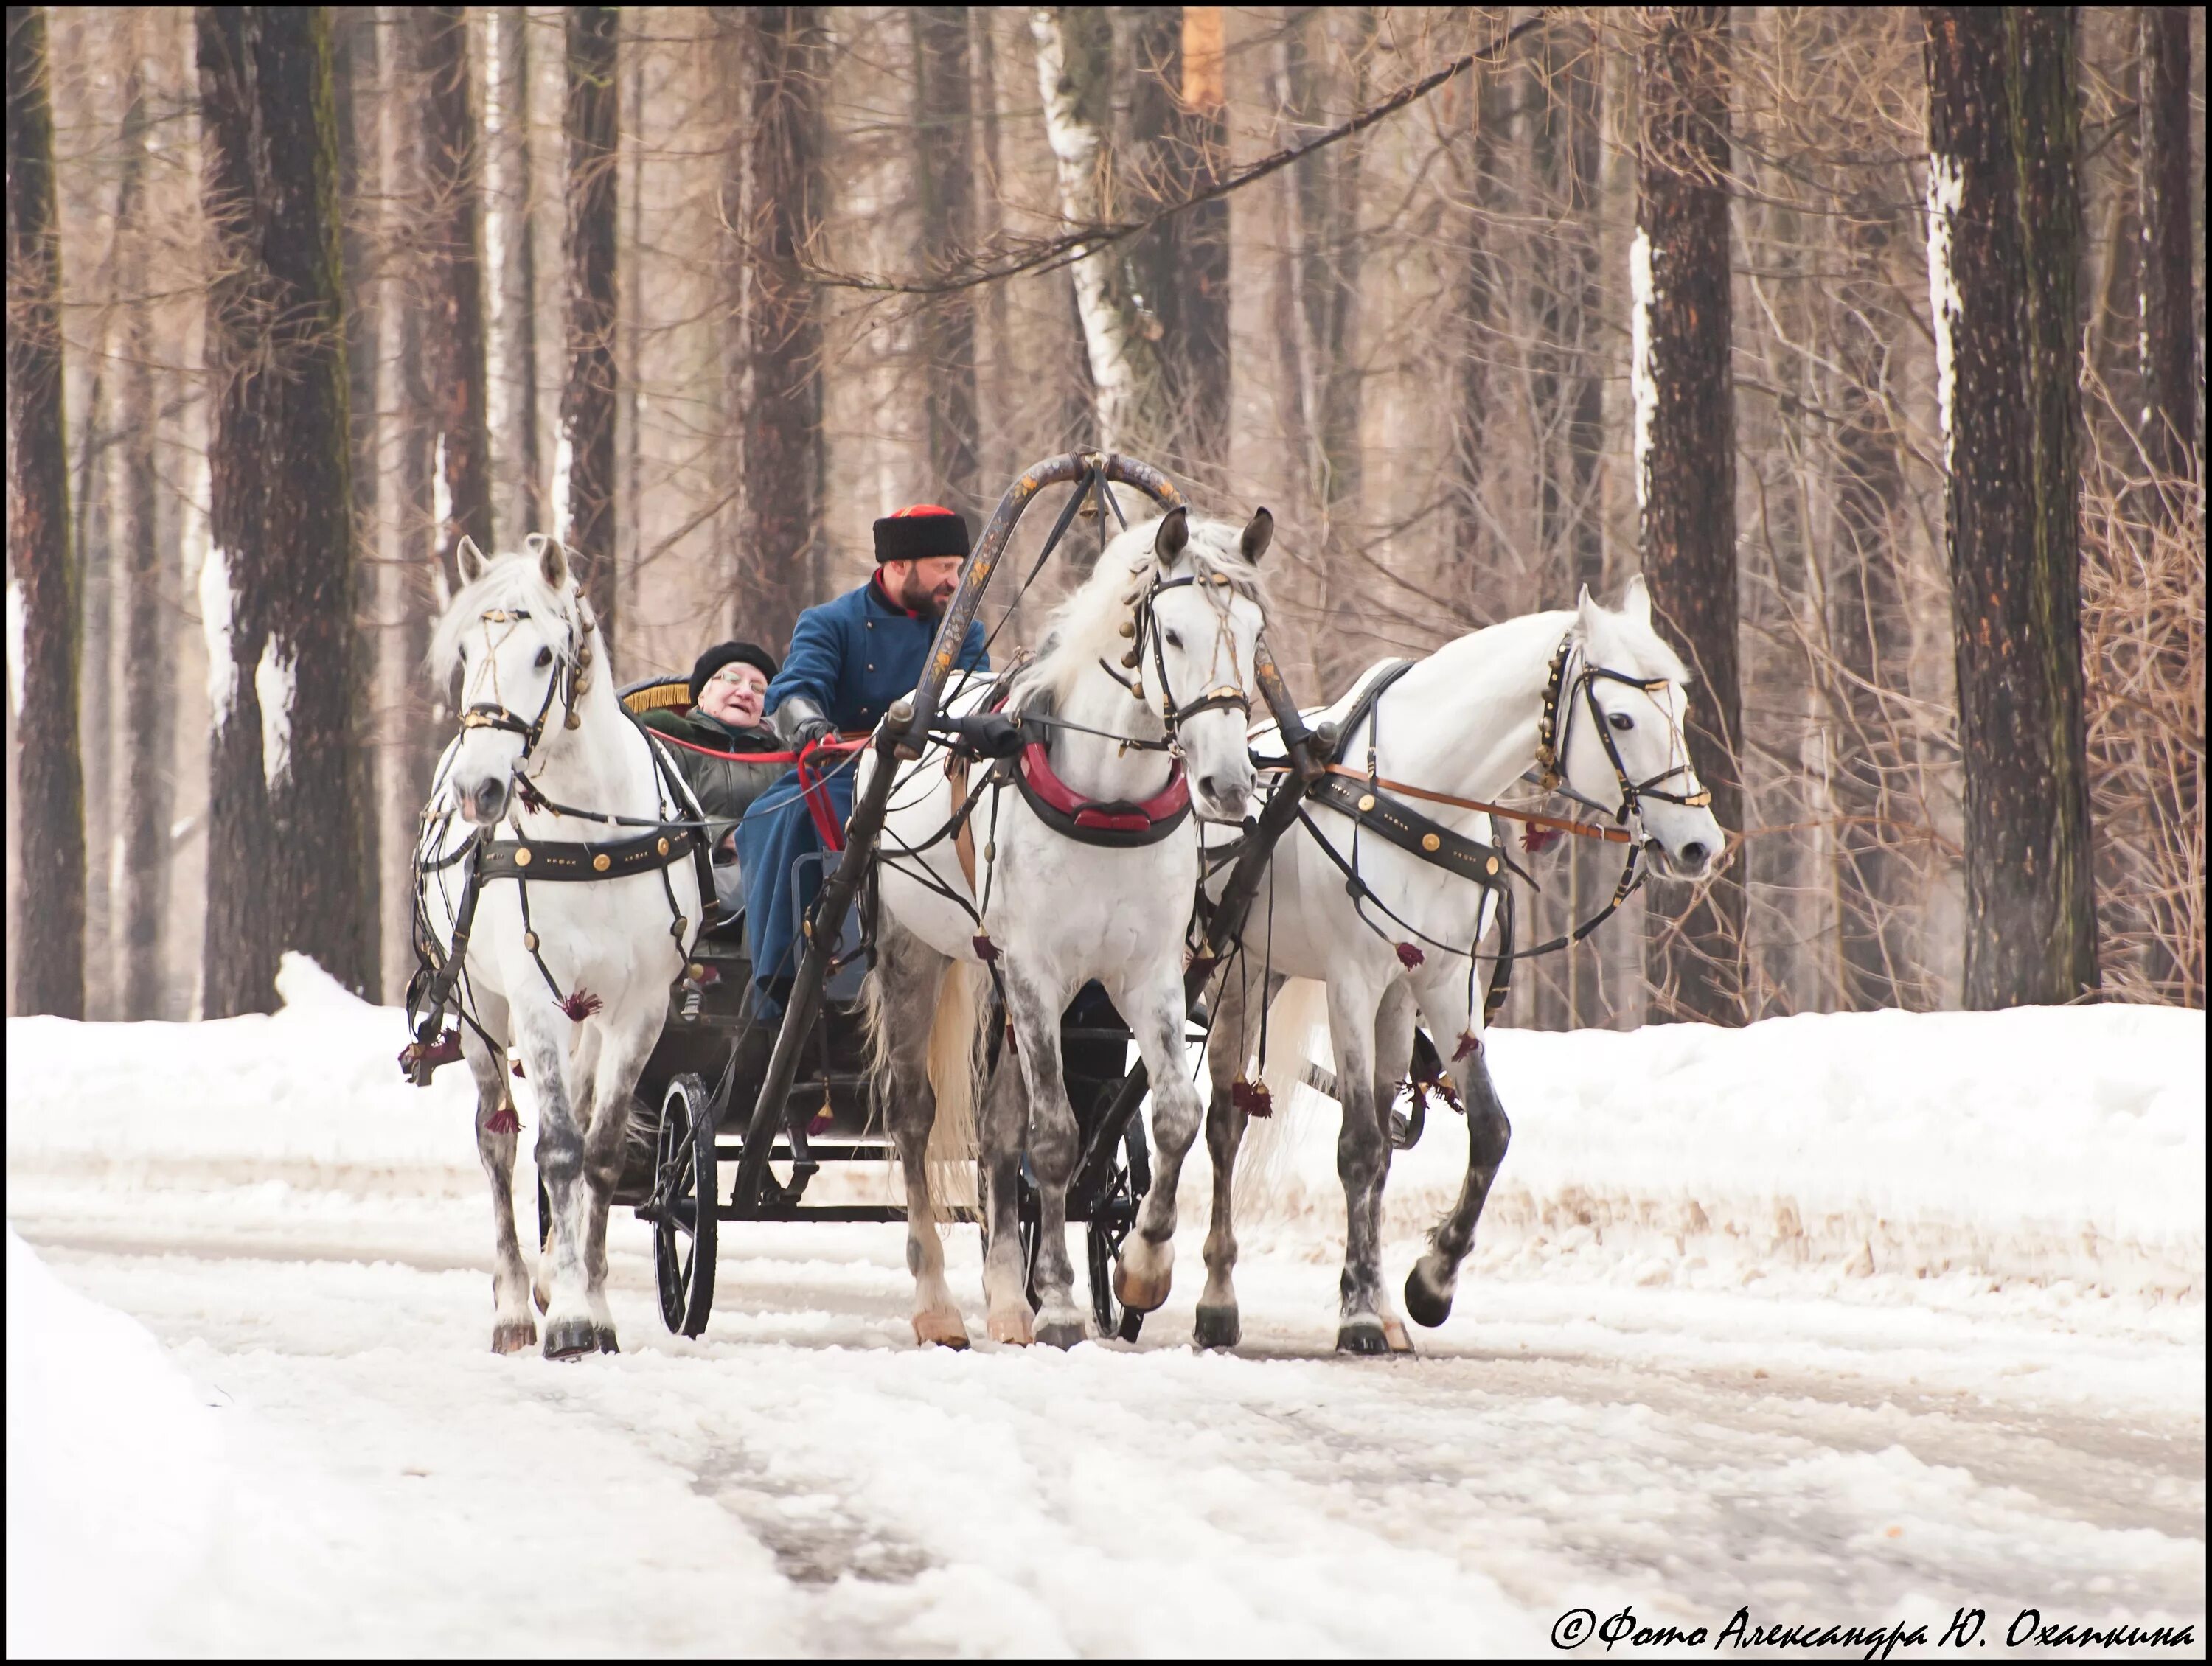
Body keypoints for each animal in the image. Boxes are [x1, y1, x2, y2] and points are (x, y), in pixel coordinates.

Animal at [409, 540, 699, 1353]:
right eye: (466, 652)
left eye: (544, 653)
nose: (477, 789)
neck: (592, 842)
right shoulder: (534, 999)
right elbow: (557, 1149)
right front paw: (568, 1318)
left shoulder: (641, 1007)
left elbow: (600, 1152)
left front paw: (591, 1302)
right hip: (481, 1004)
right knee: (499, 1142)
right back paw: (515, 1303)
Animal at [867, 511, 1274, 1353]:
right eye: (1173, 633)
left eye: (1256, 637)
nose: (1226, 785)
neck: (1108, 801)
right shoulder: (1035, 970)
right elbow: (1053, 1137)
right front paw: (1057, 1301)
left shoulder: (1146, 973)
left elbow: (1177, 1117)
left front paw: (1142, 1267)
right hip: (913, 953)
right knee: (914, 1114)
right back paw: (938, 1301)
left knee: (996, 1129)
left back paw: (1003, 1299)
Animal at [1194, 579, 1725, 1345]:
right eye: (1621, 719)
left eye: (1679, 712)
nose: (1698, 845)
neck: (1416, 795)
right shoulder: (1352, 980)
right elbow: (1358, 1144)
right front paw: (1361, 1313)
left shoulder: (1442, 979)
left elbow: (1486, 1130)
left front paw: (1426, 1283)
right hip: (1237, 973)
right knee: (1223, 1125)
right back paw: (1207, 1293)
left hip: (1325, 983)